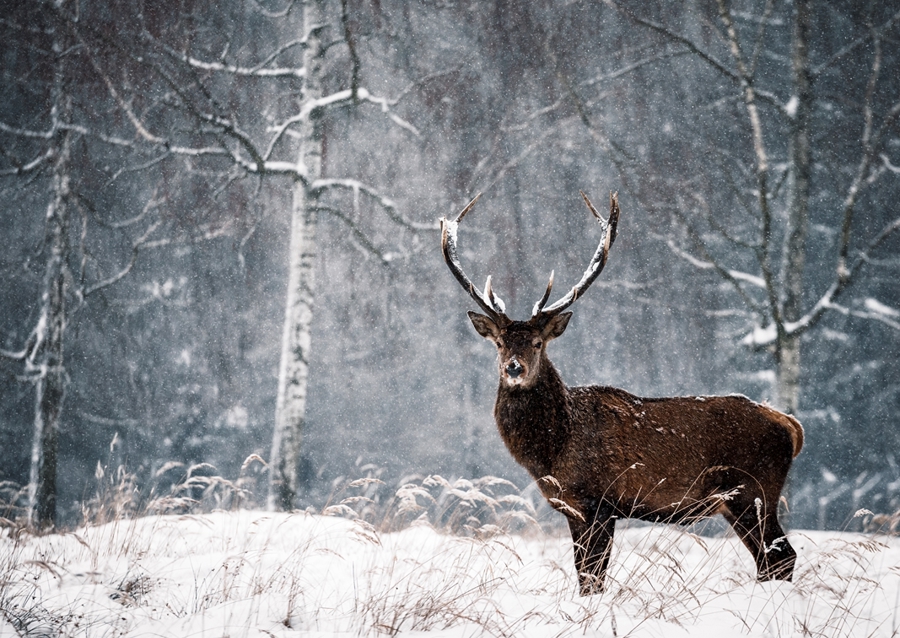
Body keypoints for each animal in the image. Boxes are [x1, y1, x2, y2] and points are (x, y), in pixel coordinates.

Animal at [440, 192, 804, 596]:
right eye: (500, 343)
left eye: (537, 343)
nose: (514, 368)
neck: (553, 449)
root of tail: (791, 426)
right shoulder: (573, 507)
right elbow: (583, 574)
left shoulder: (598, 501)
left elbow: (593, 577)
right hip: (738, 501)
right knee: (770, 559)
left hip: (754, 490)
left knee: (782, 556)